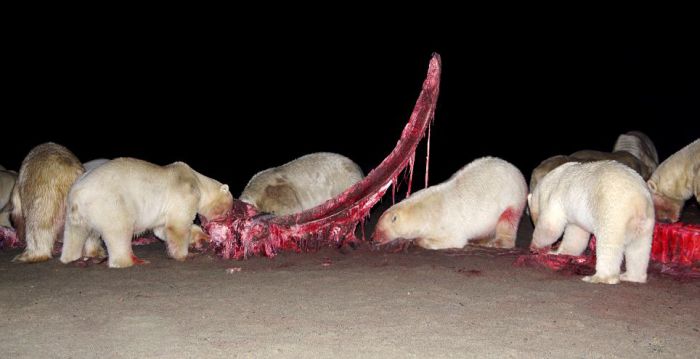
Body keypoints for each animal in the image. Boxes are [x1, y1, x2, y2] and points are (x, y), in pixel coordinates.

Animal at [60, 158, 232, 268]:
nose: (227, 216)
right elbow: (178, 226)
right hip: (110, 203)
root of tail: (77, 193)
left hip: (76, 213)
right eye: (229, 207)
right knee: (119, 231)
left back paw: (71, 257)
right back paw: (131, 261)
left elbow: (161, 230)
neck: (197, 180)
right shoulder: (185, 193)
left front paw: (203, 237)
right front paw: (185, 255)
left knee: (75, 234)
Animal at [372, 158, 524, 250]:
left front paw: (418, 240)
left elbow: (454, 240)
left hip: (512, 198)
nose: (373, 238)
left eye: (379, 229)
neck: (424, 211)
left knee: (507, 220)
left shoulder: (446, 223)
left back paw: (496, 243)